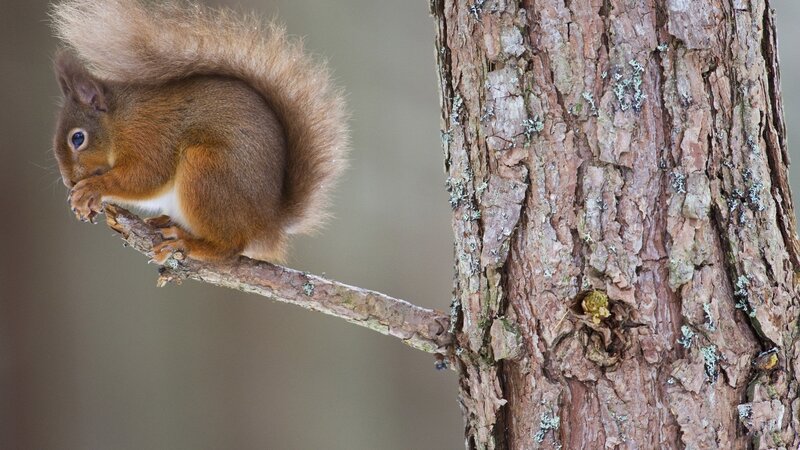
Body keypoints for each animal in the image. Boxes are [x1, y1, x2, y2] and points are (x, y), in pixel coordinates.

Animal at [51, 0, 348, 264]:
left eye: (78, 138)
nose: (69, 181)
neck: (121, 120)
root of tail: (268, 223)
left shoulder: (150, 138)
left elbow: (145, 177)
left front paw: (92, 189)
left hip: (206, 171)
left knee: (229, 248)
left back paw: (187, 243)